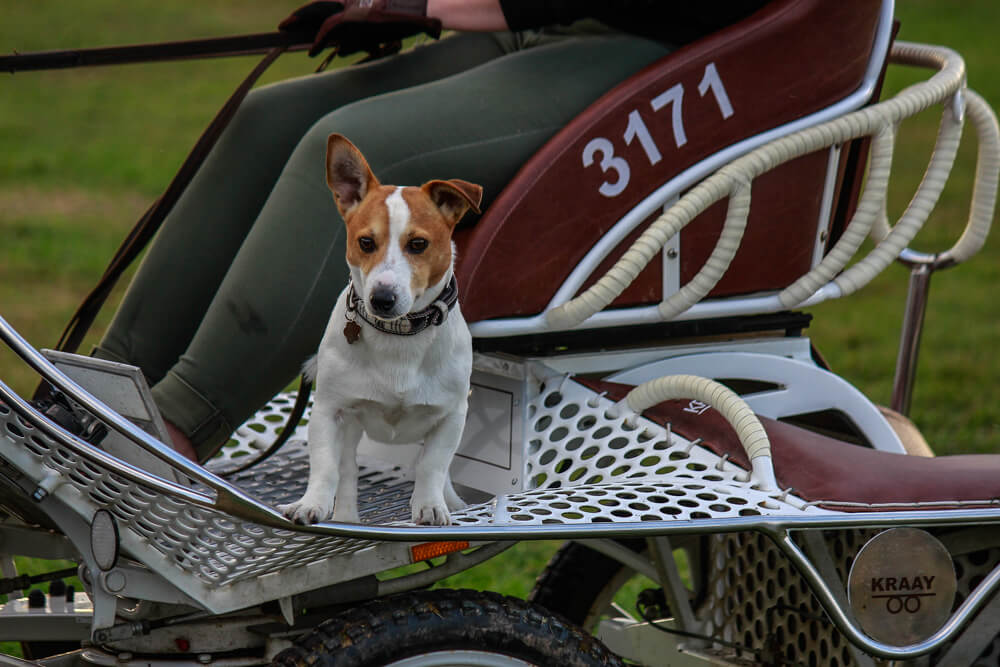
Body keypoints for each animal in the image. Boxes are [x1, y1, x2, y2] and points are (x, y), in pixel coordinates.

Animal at [278, 134, 481, 526]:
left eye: (418, 244)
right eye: (366, 242)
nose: (382, 299)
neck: (399, 335)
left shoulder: (451, 416)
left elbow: (433, 465)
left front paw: (431, 505)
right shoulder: (329, 412)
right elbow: (326, 466)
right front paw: (312, 503)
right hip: (350, 426)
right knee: (346, 470)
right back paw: (346, 514)